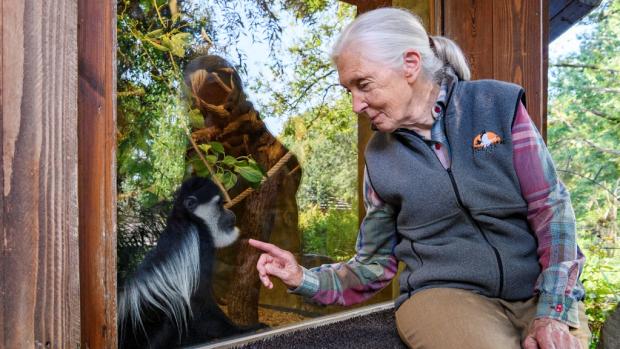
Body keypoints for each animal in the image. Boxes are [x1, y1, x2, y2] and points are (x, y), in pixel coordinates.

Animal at [117, 177, 253, 348]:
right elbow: (198, 299)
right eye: (220, 205)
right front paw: (242, 329)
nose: (230, 213)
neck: (191, 219)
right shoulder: (201, 244)